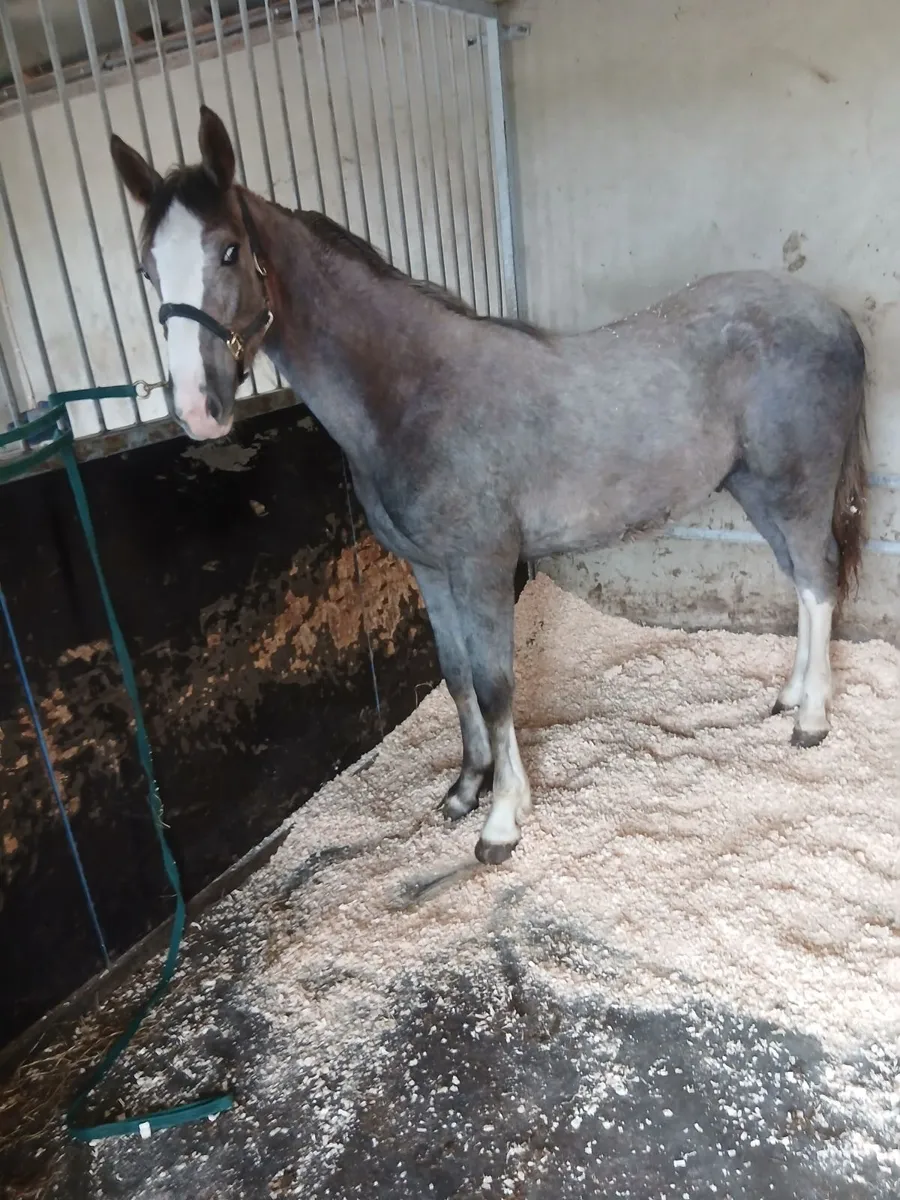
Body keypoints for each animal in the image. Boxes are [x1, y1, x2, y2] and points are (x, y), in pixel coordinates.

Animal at [110, 107, 867, 866]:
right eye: (146, 268)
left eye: (229, 251)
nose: (198, 410)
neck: (413, 392)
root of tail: (834, 317)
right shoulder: (429, 569)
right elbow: (456, 674)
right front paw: (465, 789)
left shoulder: (482, 566)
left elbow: (496, 685)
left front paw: (502, 819)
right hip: (758, 492)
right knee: (802, 583)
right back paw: (789, 698)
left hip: (795, 488)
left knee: (819, 577)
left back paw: (811, 720)